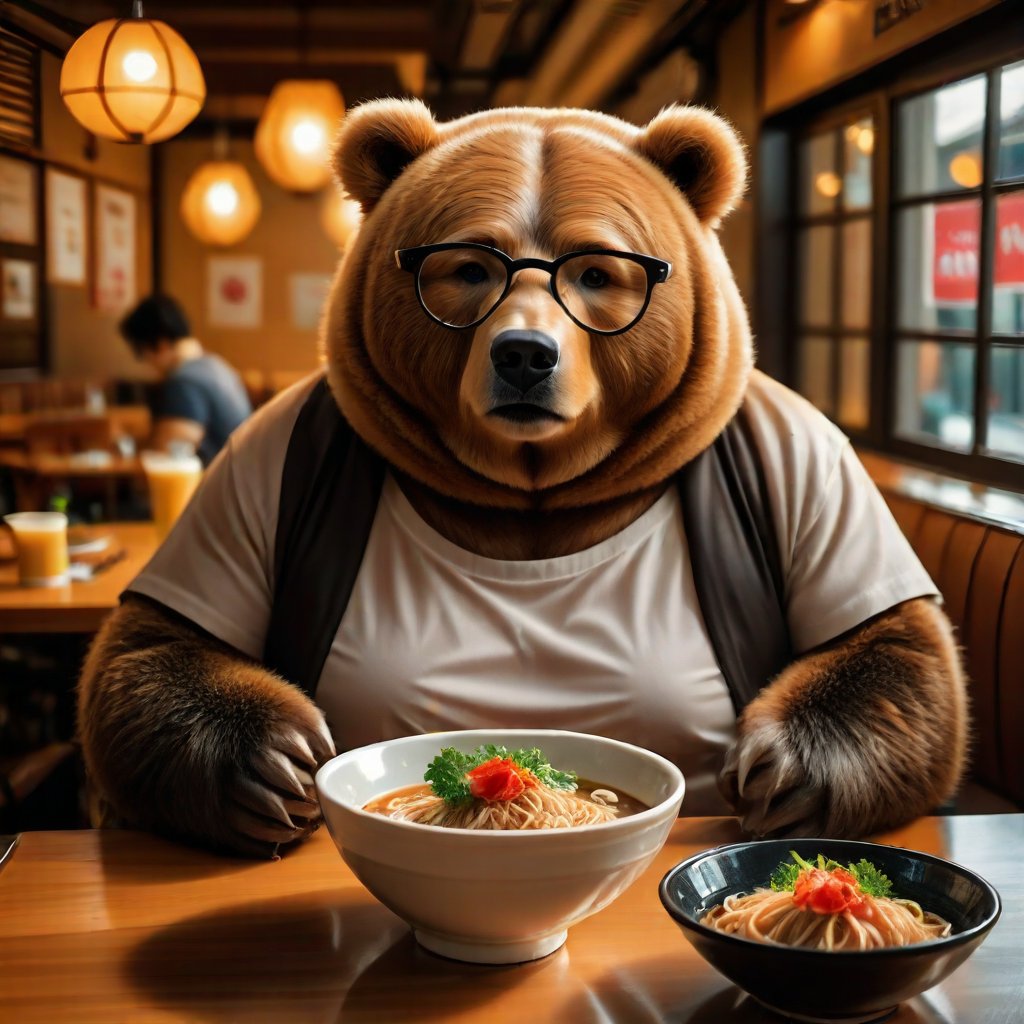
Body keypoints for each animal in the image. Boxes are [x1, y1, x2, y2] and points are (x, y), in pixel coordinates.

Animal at [75, 101, 962, 856]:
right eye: (470, 267)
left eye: (596, 273)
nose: (526, 355)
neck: (533, 490)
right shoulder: (257, 465)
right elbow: (157, 646)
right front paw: (275, 759)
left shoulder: (808, 461)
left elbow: (894, 648)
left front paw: (783, 770)